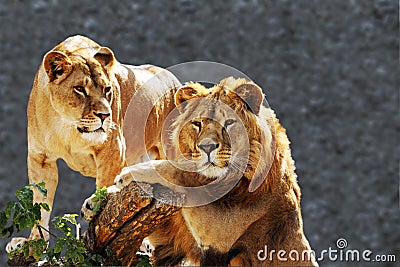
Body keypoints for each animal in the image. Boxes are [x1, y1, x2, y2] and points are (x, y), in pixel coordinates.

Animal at [6, 35, 180, 253]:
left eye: (107, 90)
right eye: (80, 89)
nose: (105, 115)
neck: (67, 125)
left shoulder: (113, 147)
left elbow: (104, 184)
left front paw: (94, 208)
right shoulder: (41, 158)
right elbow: (40, 204)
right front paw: (33, 243)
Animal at [108, 77, 316, 266]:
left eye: (229, 122)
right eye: (197, 124)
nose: (207, 147)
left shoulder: (221, 234)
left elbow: (180, 172)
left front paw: (126, 175)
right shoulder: (173, 240)